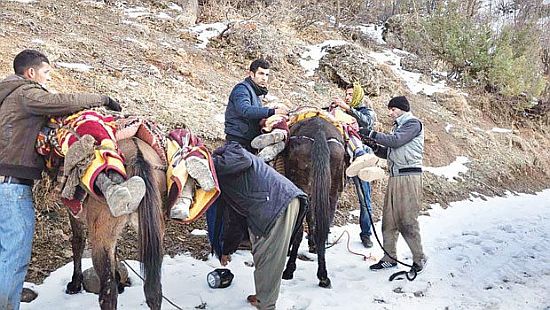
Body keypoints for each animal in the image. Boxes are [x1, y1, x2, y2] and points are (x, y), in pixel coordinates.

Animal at [64, 138, 166, 310]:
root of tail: (137, 157)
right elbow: (116, 249)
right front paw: (120, 280)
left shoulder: (75, 214)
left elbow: (77, 242)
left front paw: (75, 284)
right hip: (154, 235)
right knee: (154, 291)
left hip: (100, 239)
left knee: (108, 295)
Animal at [282, 116, 348, 288]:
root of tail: (320, 132)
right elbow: (313, 218)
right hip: (331, 190)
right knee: (324, 226)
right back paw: (323, 275)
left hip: (302, 185)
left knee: (300, 230)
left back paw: (289, 270)